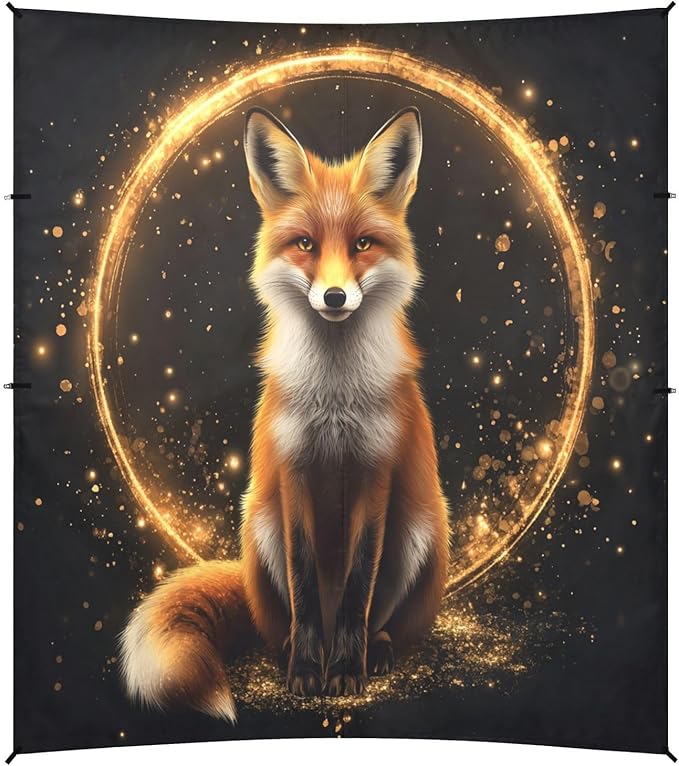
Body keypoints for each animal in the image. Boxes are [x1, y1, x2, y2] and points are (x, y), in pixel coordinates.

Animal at [119, 105, 450, 722]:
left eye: (363, 243)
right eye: (305, 244)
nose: (336, 297)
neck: (336, 400)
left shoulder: (376, 472)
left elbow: (357, 588)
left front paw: (344, 670)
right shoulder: (293, 470)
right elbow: (302, 580)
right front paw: (306, 672)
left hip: (417, 529)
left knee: (381, 618)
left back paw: (377, 650)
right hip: (261, 522)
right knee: (283, 621)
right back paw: (293, 647)